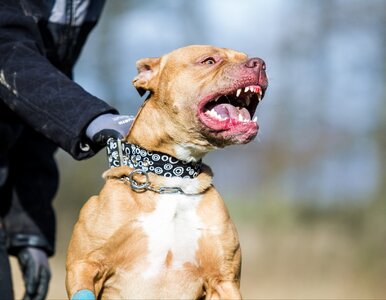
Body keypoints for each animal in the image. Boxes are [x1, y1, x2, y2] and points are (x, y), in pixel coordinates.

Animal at [65, 45, 266, 300]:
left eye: (246, 57)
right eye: (209, 61)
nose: (259, 64)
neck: (173, 178)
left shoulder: (224, 280)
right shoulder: (84, 265)